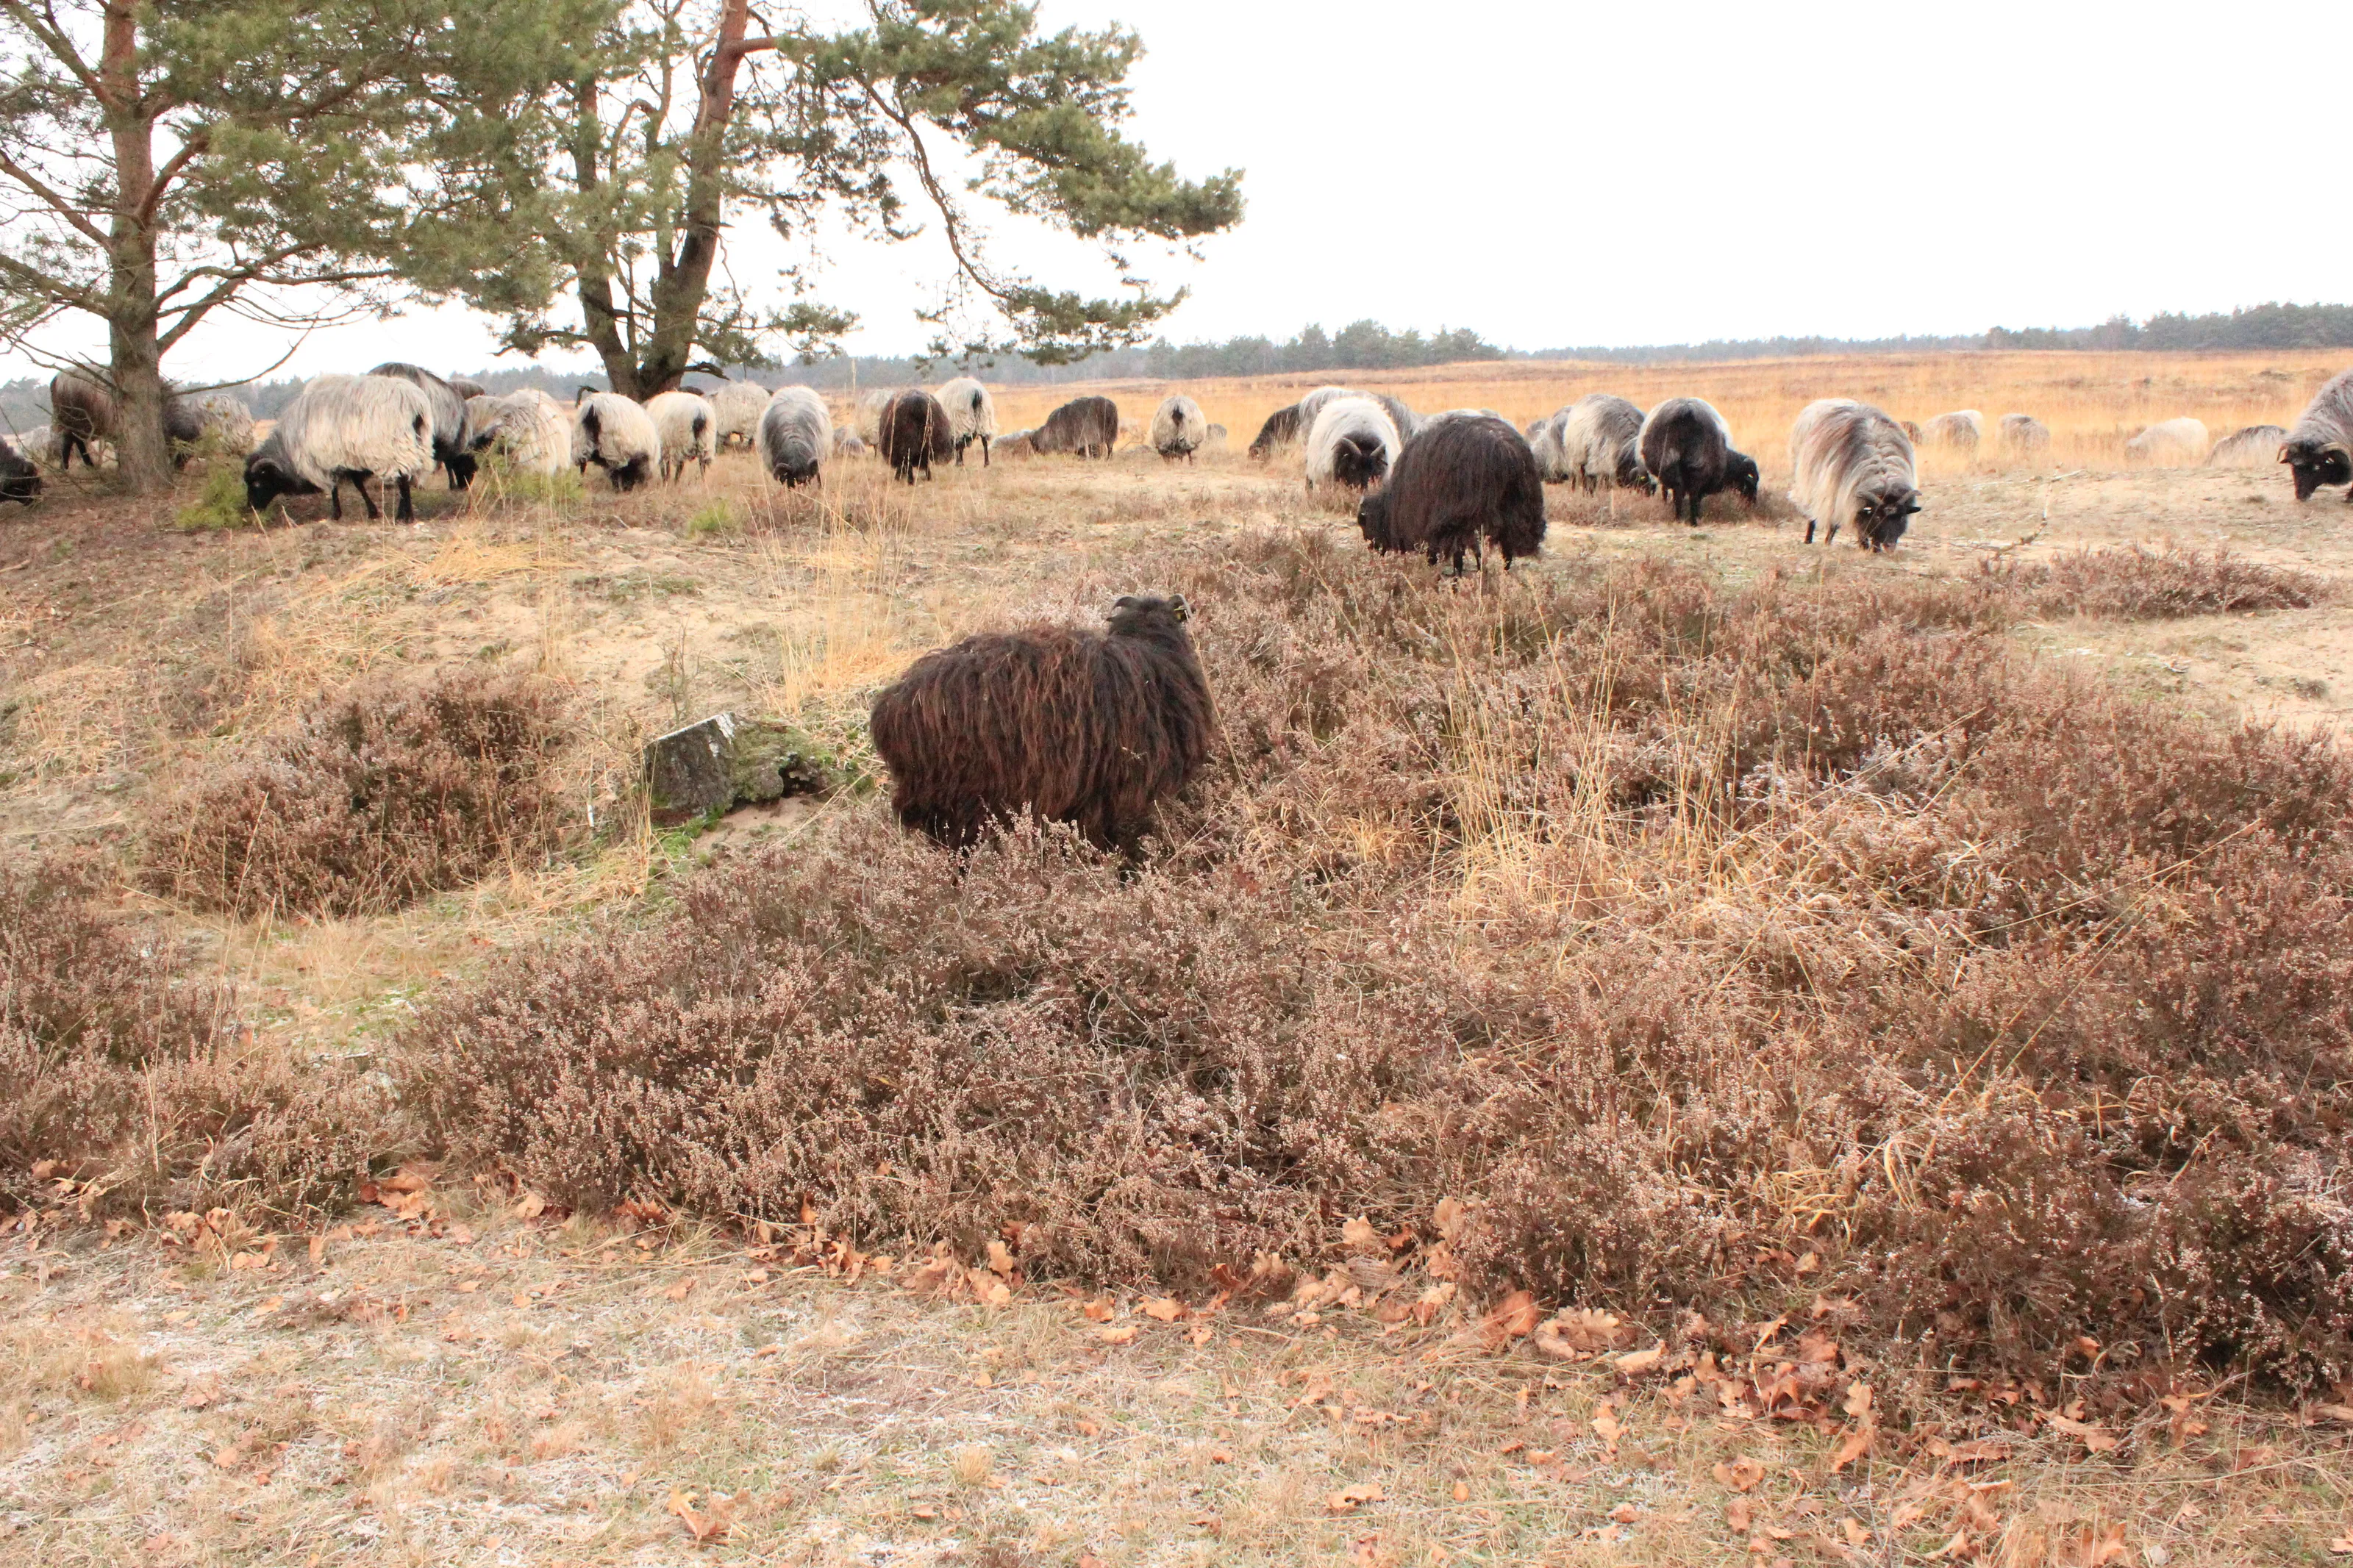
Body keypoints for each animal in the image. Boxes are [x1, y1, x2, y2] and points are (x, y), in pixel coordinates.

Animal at [243, 373, 435, 523]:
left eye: (258, 483)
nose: (251, 508)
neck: (289, 447)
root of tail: (414, 403)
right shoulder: (348, 456)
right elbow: (355, 484)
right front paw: (371, 512)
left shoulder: (329, 458)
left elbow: (338, 486)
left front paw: (337, 514)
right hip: (418, 441)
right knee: (407, 476)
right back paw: (404, 514)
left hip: (395, 445)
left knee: (402, 478)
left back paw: (405, 516)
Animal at [572, 392, 662, 491]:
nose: (644, 487)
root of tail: (593, 407)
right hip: (612, 447)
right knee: (613, 471)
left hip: (582, 441)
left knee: (583, 466)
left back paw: (580, 484)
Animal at [1356, 414, 1545, 573]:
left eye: (1364, 525)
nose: (1372, 552)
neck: (1391, 507)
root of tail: (1508, 452)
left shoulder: (1429, 524)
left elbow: (1436, 556)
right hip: (1521, 512)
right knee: (1507, 553)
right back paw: (1501, 577)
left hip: (1465, 517)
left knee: (1467, 552)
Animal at [1639, 398, 1757, 523]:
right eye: (1750, 483)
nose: (1753, 503)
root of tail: (1686, 412)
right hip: (1698, 464)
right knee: (1693, 494)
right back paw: (1693, 521)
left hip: (1670, 463)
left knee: (1679, 490)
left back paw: (1679, 518)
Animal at [1788, 398, 1921, 551]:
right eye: (1877, 517)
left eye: (1902, 517)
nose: (1890, 545)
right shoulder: (1844, 496)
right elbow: (1855, 524)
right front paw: (1864, 546)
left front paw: (1875, 548)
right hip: (1810, 486)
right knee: (1814, 514)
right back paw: (1810, 540)